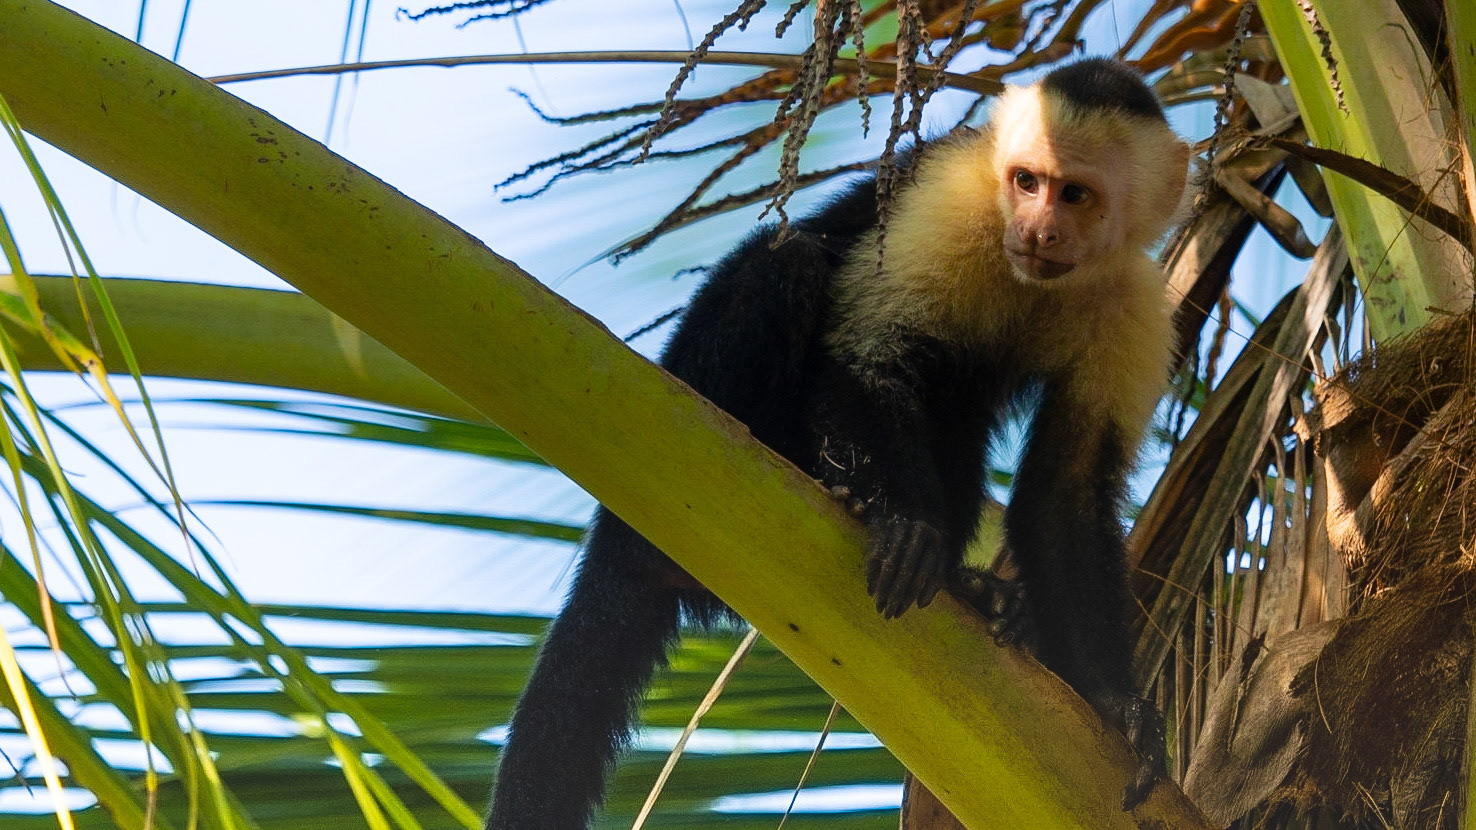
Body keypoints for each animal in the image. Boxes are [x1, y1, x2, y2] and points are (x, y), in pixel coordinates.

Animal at [486, 58, 1189, 829]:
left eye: (1075, 195)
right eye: (1026, 181)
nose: (1036, 229)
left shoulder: (1134, 301)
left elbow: (1067, 489)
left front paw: (1117, 705)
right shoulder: (948, 200)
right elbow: (867, 355)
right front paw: (905, 521)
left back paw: (972, 591)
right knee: (787, 263)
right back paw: (841, 492)